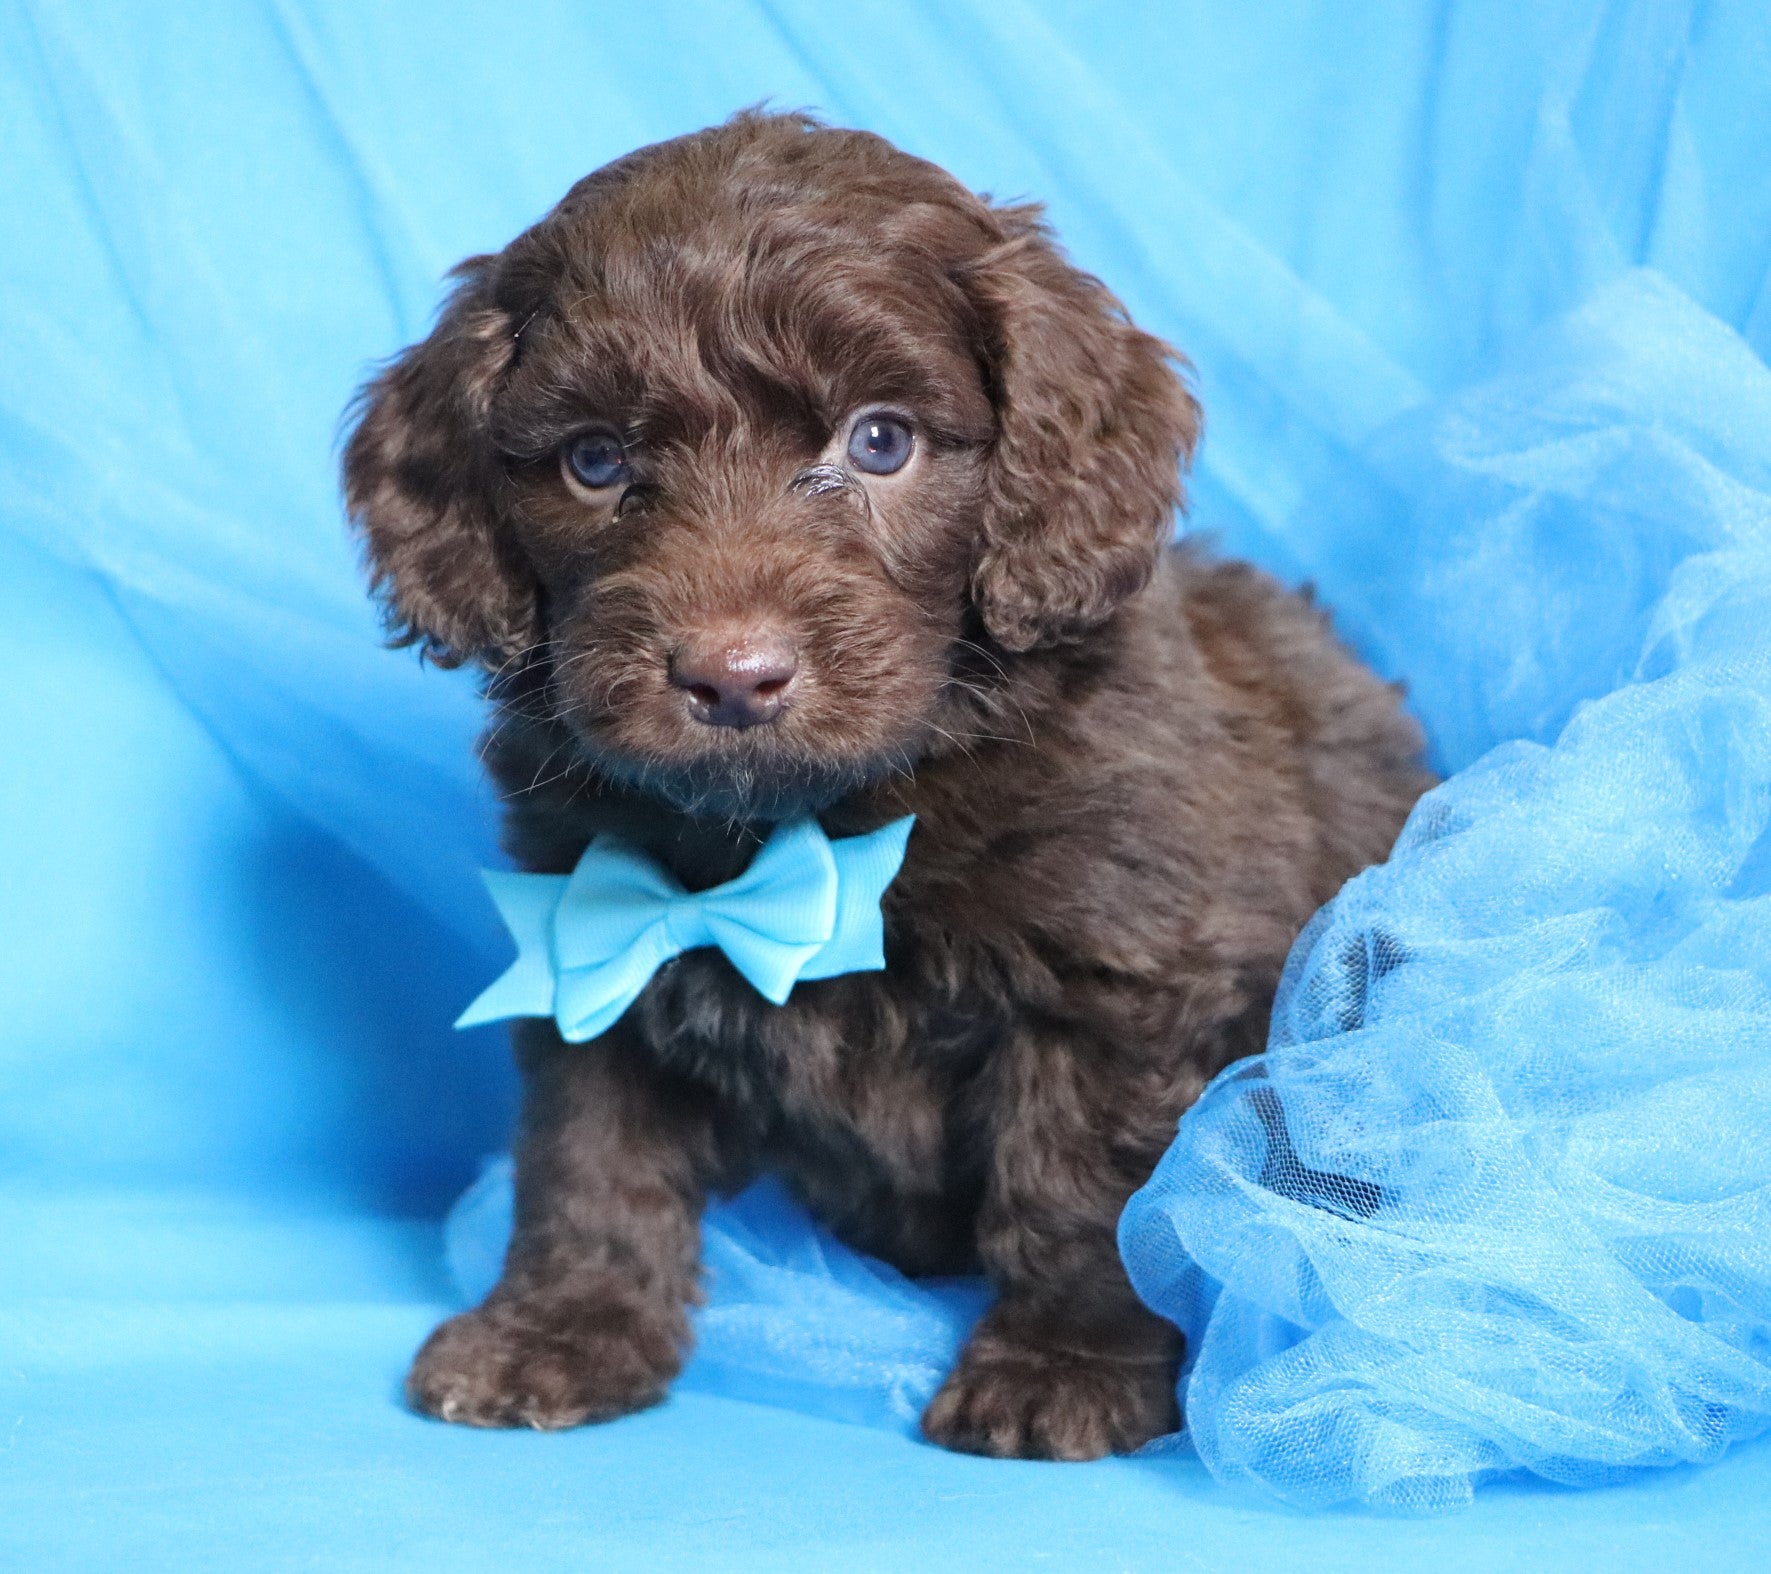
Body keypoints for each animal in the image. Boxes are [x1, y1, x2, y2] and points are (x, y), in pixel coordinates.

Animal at [345, 110, 1438, 1458]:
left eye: (879, 440)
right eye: (593, 462)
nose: (732, 677)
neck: (811, 831)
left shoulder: (1118, 979)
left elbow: (1090, 1182)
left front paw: (1062, 1363)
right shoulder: (592, 941)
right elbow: (591, 1151)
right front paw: (564, 1328)